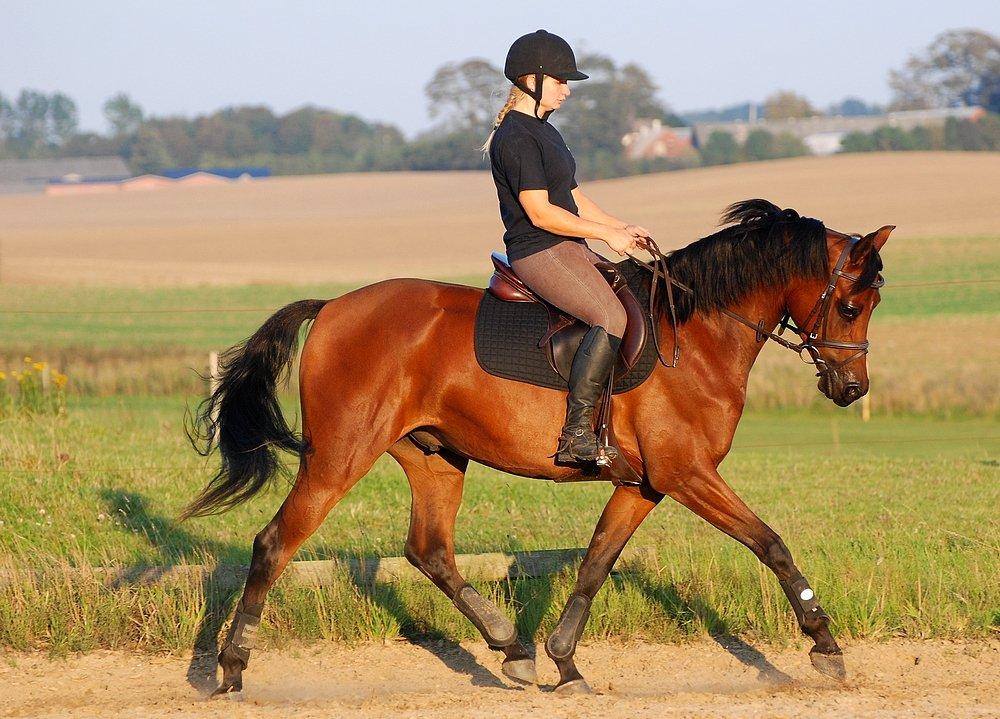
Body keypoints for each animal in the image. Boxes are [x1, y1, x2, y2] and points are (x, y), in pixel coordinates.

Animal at [186, 198, 892, 696]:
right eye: (850, 305)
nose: (852, 388)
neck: (696, 335)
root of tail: (333, 306)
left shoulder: (645, 483)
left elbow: (595, 565)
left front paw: (566, 663)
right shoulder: (689, 474)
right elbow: (770, 543)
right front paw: (825, 645)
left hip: (435, 456)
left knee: (429, 551)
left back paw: (513, 650)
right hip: (339, 457)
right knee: (274, 544)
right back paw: (231, 668)